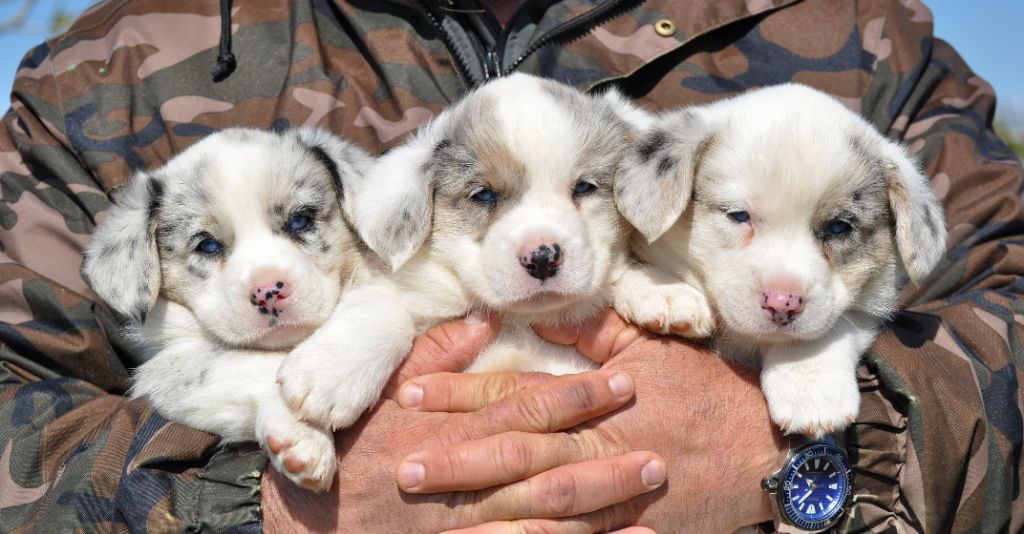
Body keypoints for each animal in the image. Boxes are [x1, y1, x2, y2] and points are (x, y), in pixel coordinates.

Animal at [80, 127, 376, 489]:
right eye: (207, 245)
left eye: (299, 221)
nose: (267, 292)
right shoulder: (163, 370)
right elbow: (256, 364)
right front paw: (301, 434)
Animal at [274, 71, 712, 428]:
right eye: (483, 195)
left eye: (585, 187)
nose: (542, 258)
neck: (519, 321)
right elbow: (384, 307)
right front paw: (328, 375)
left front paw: (663, 291)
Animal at [610, 81, 946, 432]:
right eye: (739, 215)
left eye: (839, 227)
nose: (782, 303)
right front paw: (664, 293)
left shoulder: (867, 304)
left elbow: (832, 325)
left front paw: (809, 384)